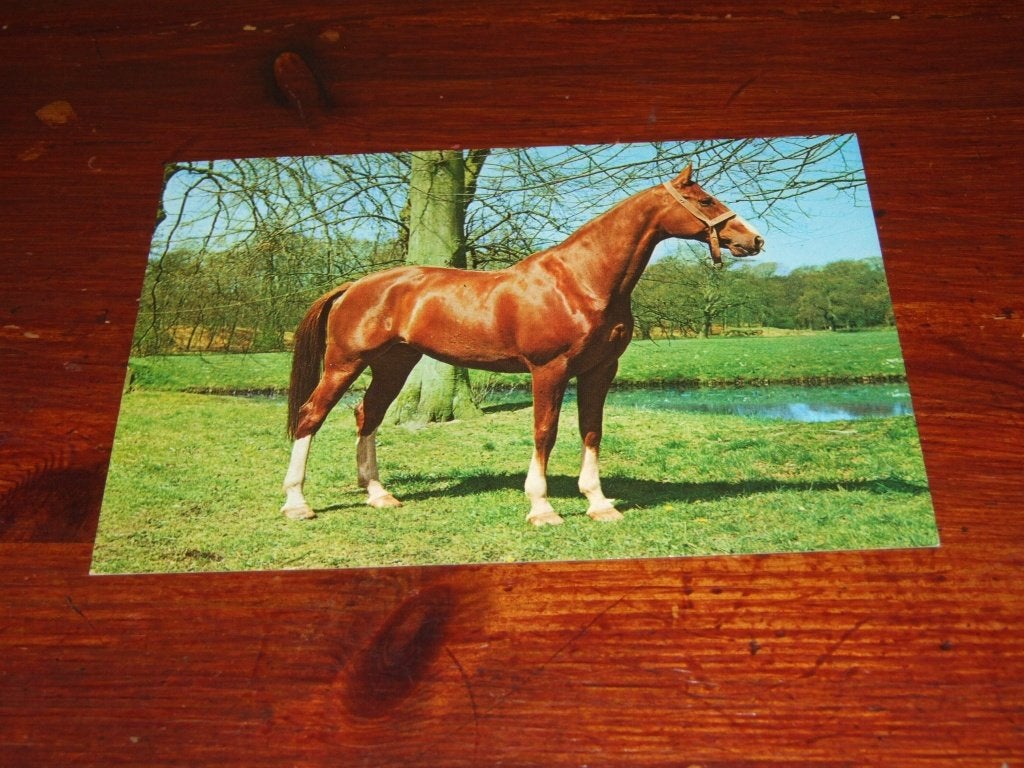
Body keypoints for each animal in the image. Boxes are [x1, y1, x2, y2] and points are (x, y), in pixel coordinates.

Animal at [281, 164, 764, 526]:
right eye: (706, 200)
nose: (753, 239)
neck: (581, 282)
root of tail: (353, 286)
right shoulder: (548, 369)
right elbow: (544, 432)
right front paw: (542, 508)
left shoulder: (599, 370)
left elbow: (592, 430)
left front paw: (599, 504)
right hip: (344, 363)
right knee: (311, 415)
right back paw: (297, 503)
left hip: (393, 365)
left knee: (369, 415)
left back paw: (379, 494)